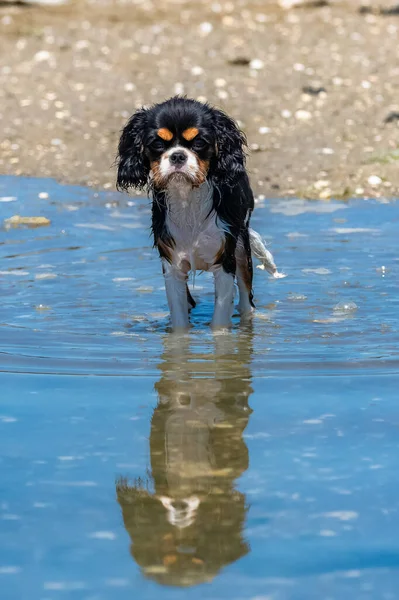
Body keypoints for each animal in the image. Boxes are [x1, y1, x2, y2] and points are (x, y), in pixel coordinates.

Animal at [116, 96, 284, 330]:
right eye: (157, 144)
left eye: (199, 143)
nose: (178, 156)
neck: (187, 199)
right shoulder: (172, 265)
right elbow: (179, 325)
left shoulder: (225, 261)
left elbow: (220, 322)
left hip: (242, 248)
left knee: (246, 301)